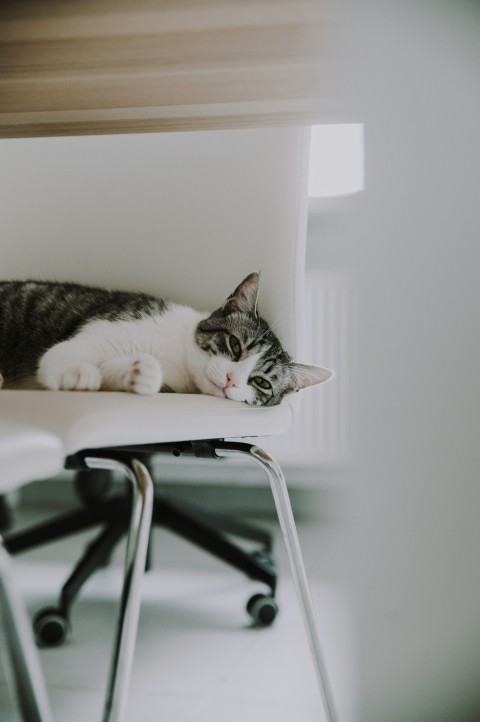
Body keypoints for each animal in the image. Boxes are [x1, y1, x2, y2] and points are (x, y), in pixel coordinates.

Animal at [0, 272, 330, 404]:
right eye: (235, 346)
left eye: (261, 382)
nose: (230, 381)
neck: (180, 360)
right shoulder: (103, 330)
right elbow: (65, 352)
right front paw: (76, 372)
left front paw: (139, 373)